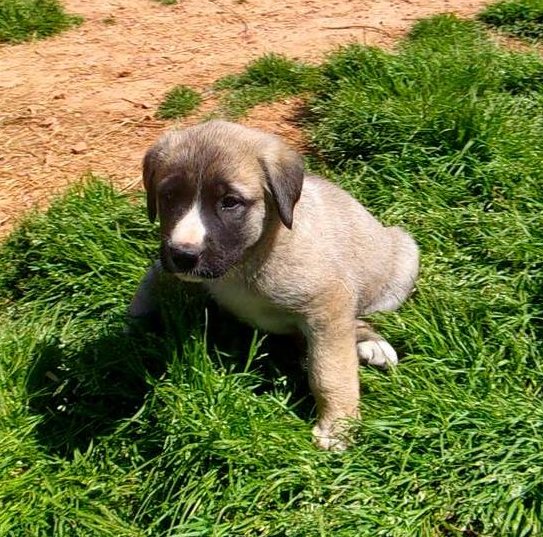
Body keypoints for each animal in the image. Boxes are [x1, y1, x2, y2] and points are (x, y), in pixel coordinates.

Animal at [130, 120, 418, 448]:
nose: (183, 255)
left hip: (403, 260)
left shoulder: (328, 305)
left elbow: (330, 370)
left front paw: (337, 426)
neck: (244, 264)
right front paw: (135, 321)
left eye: (230, 203)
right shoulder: (174, 266)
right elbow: (153, 275)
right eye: (169, 197)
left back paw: (373, 344)